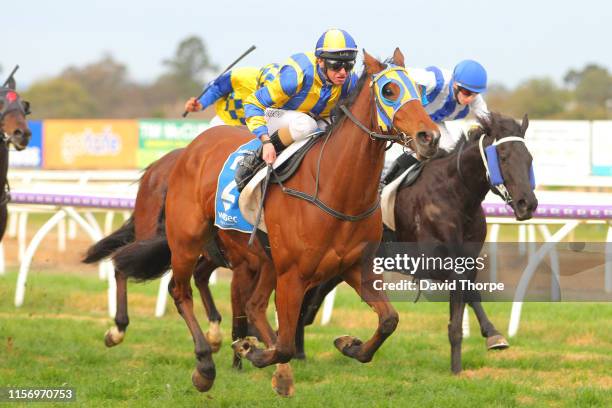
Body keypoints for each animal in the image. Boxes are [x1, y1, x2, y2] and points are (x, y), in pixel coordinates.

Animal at [113, 49, 440, 394]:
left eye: (420, 90)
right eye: (389, 90)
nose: (430, 137)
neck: (335, 190)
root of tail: (190, 149)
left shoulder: (354, 267)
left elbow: (389, 320)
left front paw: (349, 344)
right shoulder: (293, 274)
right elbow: (284, 344)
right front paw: (251, 352)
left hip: (261, 259)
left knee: (253, 305)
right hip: (188, 240)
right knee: (180, 291)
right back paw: (204, 363)